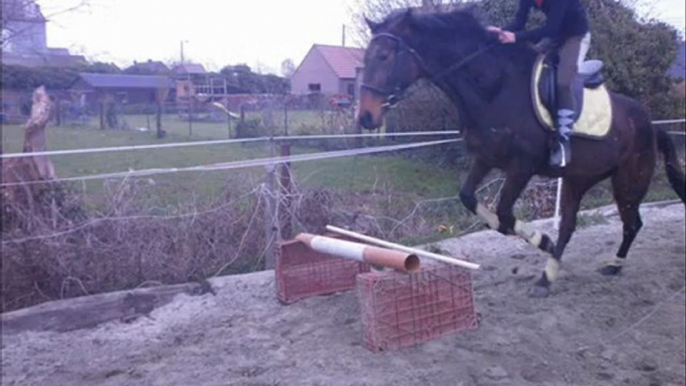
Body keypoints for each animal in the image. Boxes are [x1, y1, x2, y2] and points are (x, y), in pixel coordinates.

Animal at [358, 6, 684, 298]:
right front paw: (525, 237)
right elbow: (470, 199)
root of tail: (649, 123)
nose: (365, 118)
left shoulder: (521, 167)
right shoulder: (484, 158)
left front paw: (540, 239)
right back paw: (549, 276)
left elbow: (504, 211)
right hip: (578, 179)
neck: (493, 88)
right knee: (570, 225)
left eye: (384, 56)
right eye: (365, 59)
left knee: (632, 223)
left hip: (628, 181)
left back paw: (612, 264)